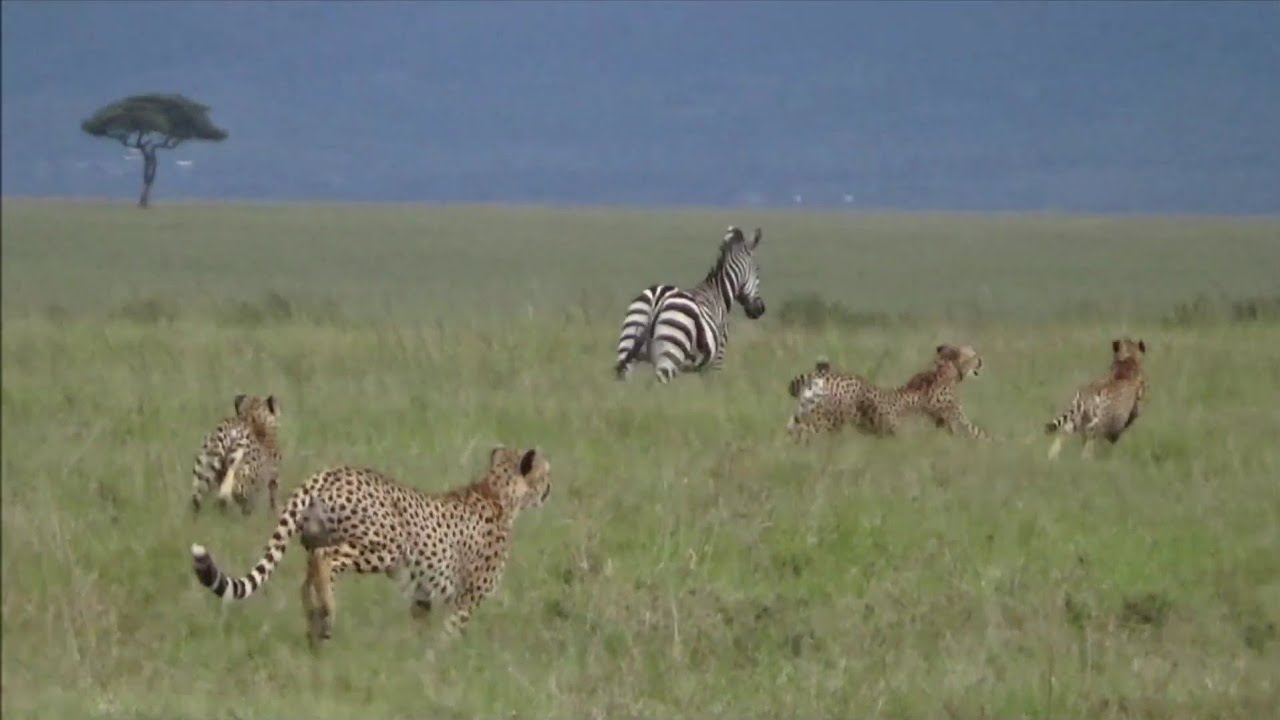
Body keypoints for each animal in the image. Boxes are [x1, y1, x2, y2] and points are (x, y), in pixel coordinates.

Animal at [614, 225, 766, 383]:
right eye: (758, 270)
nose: (760, 309)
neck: (719, 292)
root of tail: (658, 297)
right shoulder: (717, 357)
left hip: (628, 346)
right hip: (670, 354)